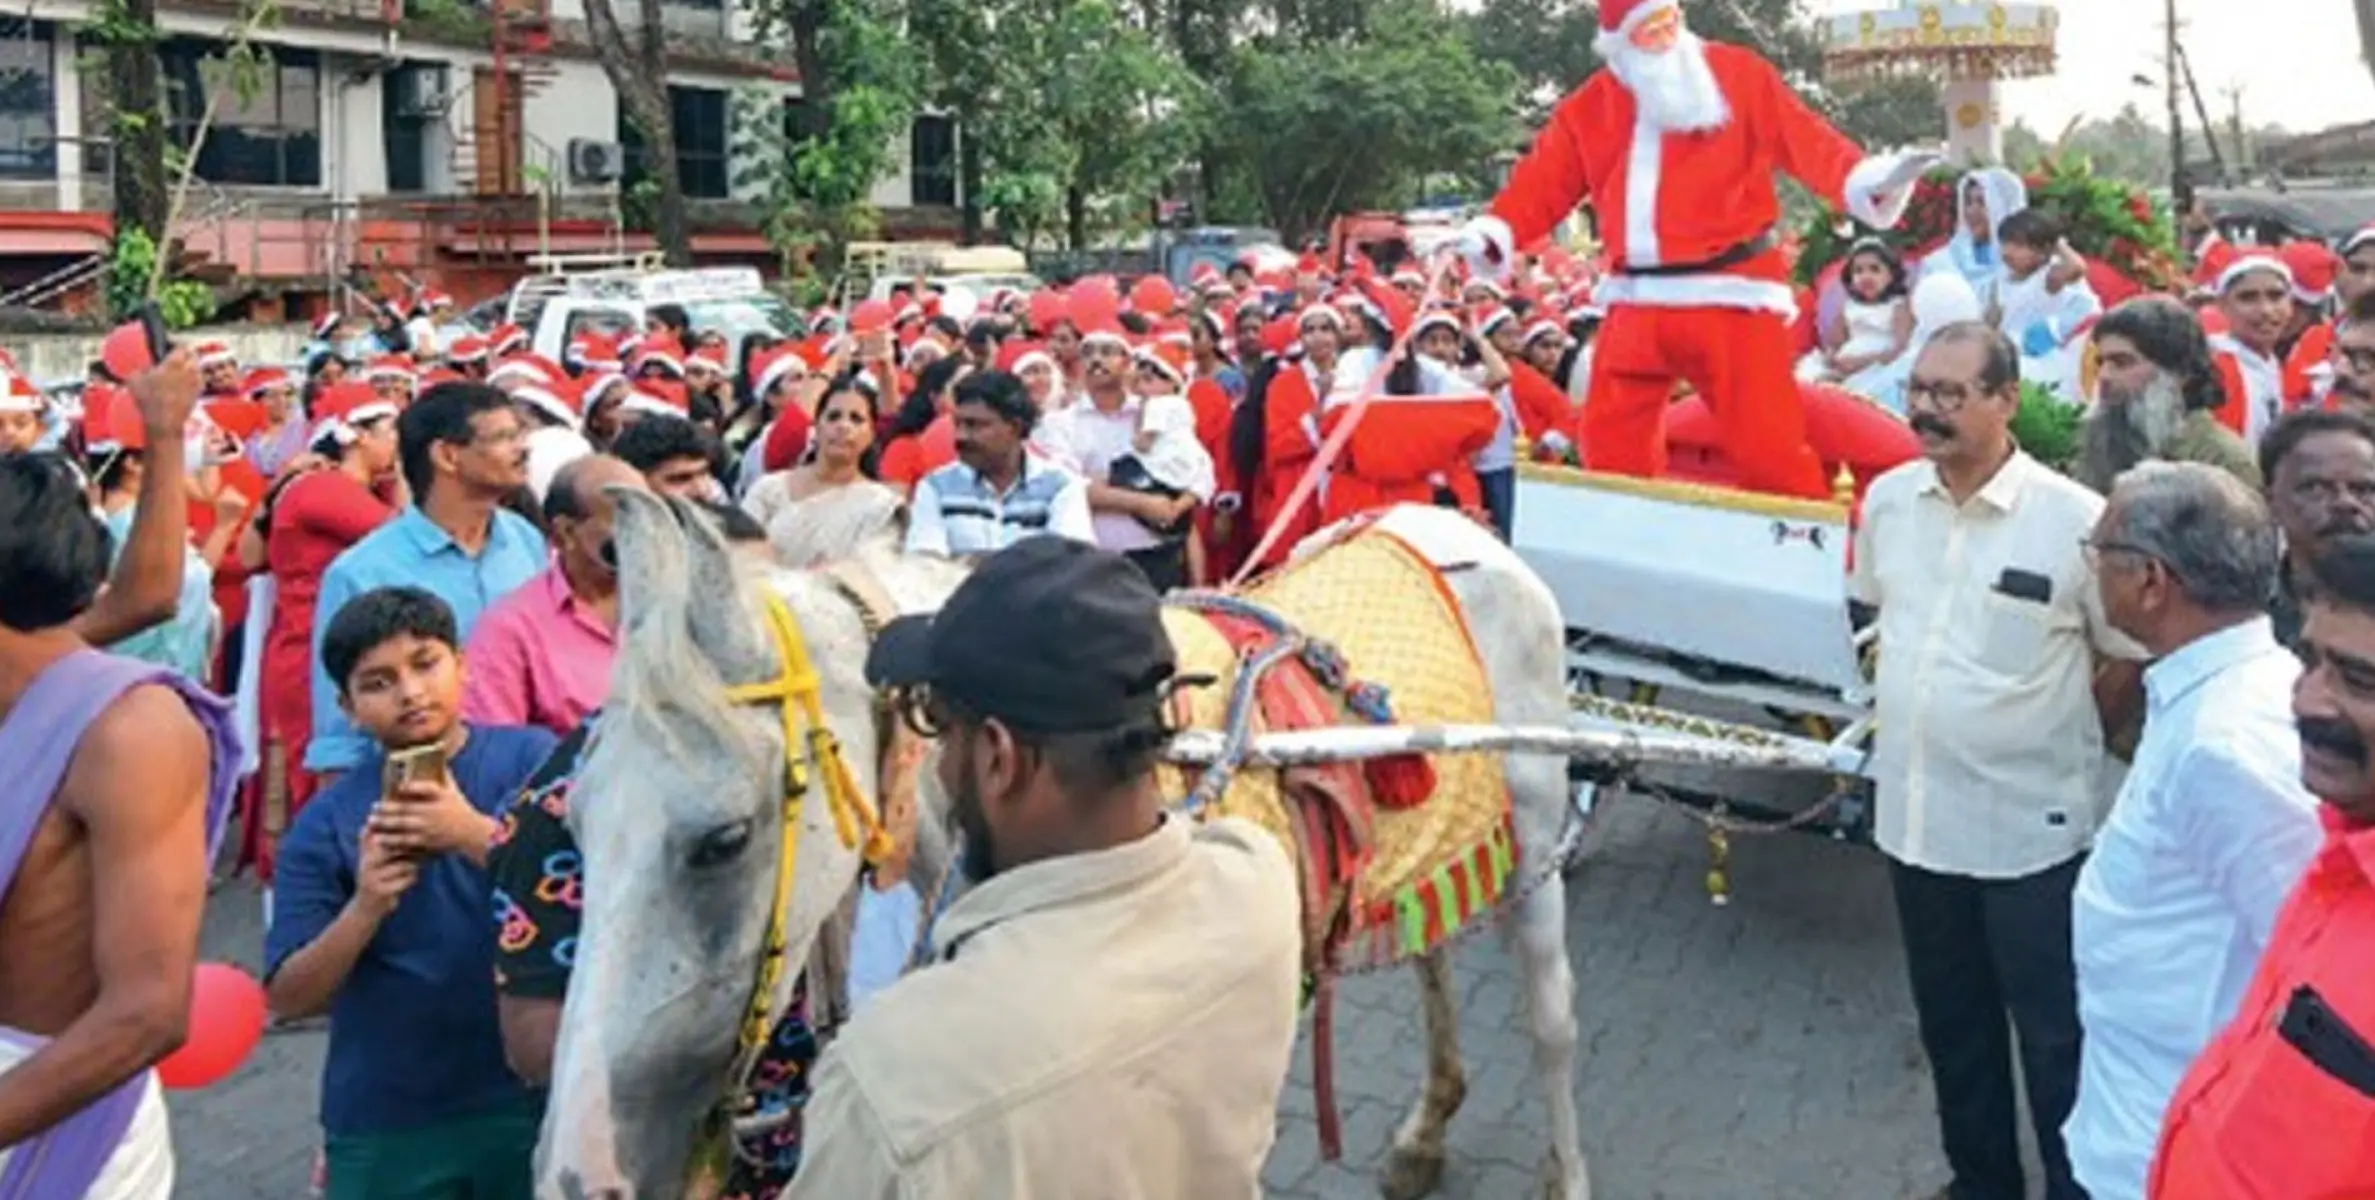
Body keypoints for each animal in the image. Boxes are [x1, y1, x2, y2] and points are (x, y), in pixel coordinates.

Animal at [534, 489, 1577, 1197]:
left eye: (723, 840)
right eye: (576, 823)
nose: (582, 1172)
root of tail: (1460, 533)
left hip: (1534, 831)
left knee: (1550, 1017)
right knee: (1434, 957)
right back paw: (1426, 1127)